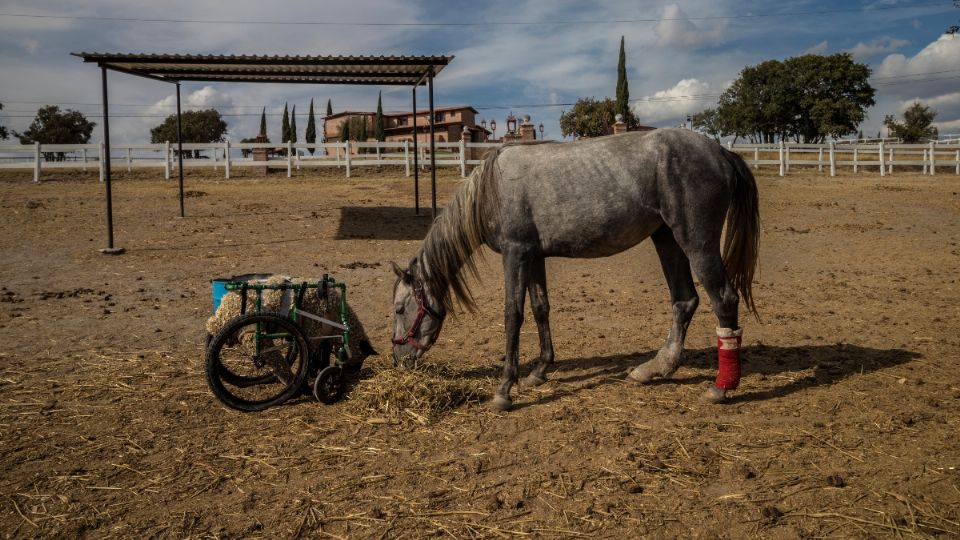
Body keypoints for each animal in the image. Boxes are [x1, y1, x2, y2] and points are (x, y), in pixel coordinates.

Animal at [390, 129, 756, 412]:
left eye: (399, 309)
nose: (398, 360)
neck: (491, 188)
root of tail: (720, 151)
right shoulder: (533, 256)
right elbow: (540, 308)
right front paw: (539, 371)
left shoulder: (515, 253)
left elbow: (513, 315)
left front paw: (505, 389)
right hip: (666, 239)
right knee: (684, 301)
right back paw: (655, 368)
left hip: (696, 243)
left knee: (723, 299)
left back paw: (721, 386)